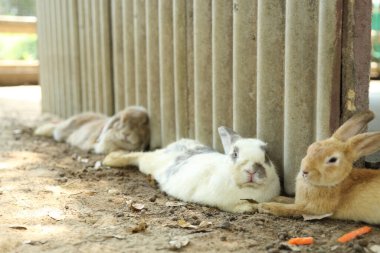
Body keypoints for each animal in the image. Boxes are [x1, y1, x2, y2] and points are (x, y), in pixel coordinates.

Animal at [102, 127, 280, 212]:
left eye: (266, 157)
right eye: (235, 154)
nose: (252, 171)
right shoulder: (222, 201)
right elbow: (232, 206)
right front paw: (248, 208)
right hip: (148, 162)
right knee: (138, 156)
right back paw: (110, 159)